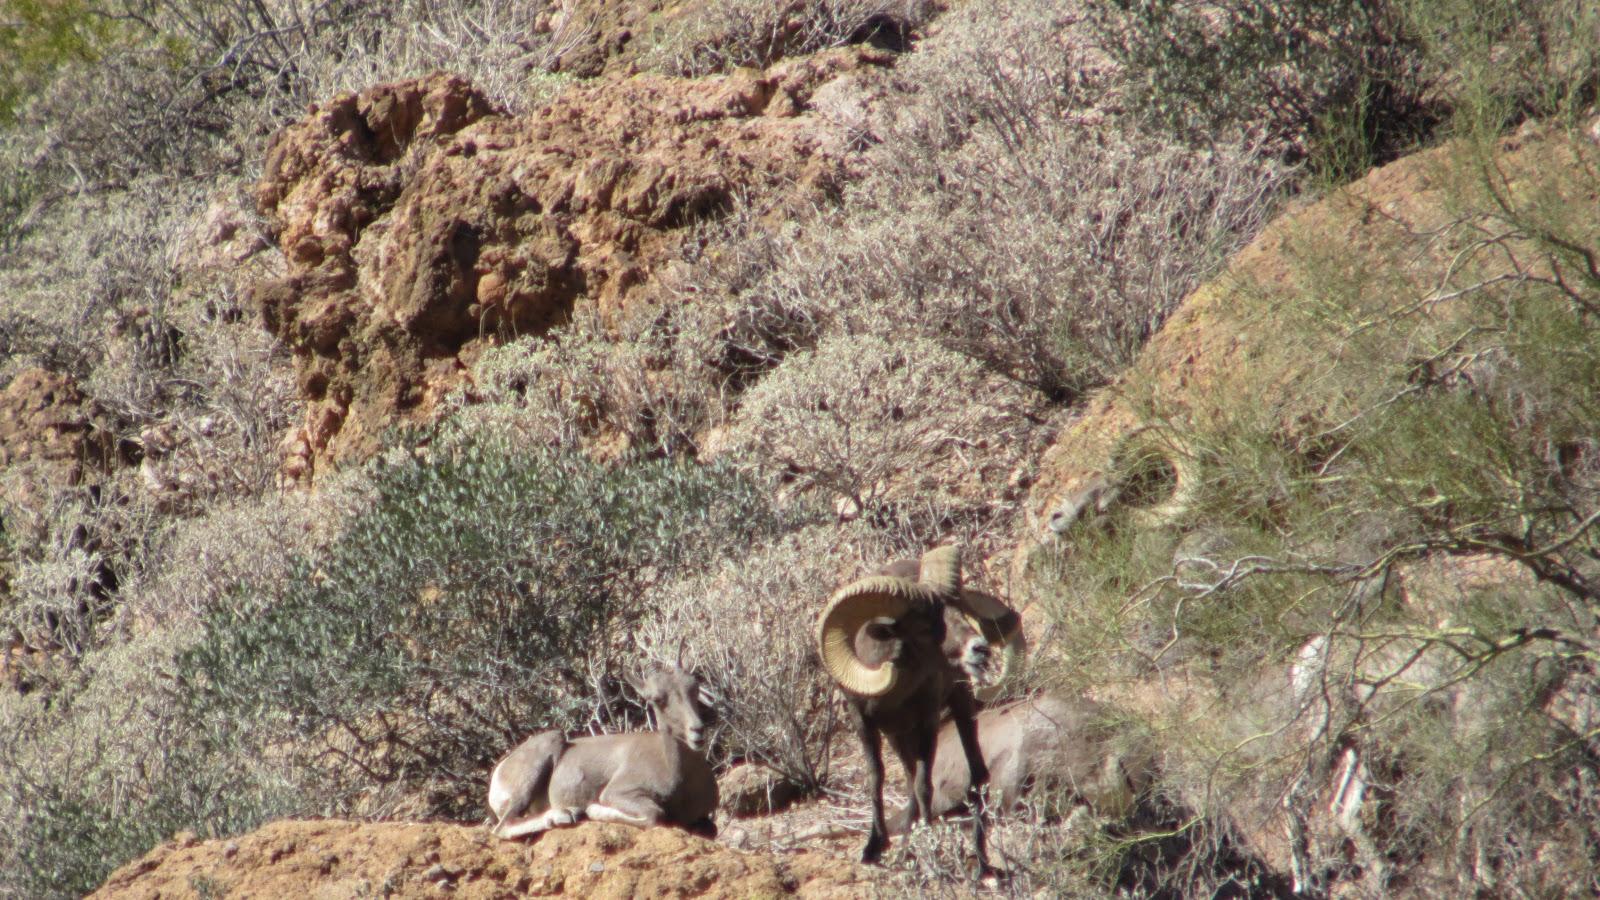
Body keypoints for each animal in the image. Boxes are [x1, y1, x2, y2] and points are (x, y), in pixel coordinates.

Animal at [486, 662, 719, 840]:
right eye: (657, 699)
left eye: (693, 689)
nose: (697, 731)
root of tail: (500, 771)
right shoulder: (620, 793)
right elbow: (654, 814)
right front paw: (592, 810)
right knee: (503, 827)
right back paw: (566, 814)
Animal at [816, 546, 1019, 876]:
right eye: (924, 627)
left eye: (959, 608)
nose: (980, 649)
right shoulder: (864, 722)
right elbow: (877, 777)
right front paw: (874, 848)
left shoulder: (927, 720)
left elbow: (925, 784)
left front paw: (929, 846)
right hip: (899, 737)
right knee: (910, 780)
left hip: (959, 707)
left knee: (976, 776)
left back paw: (980, 862)